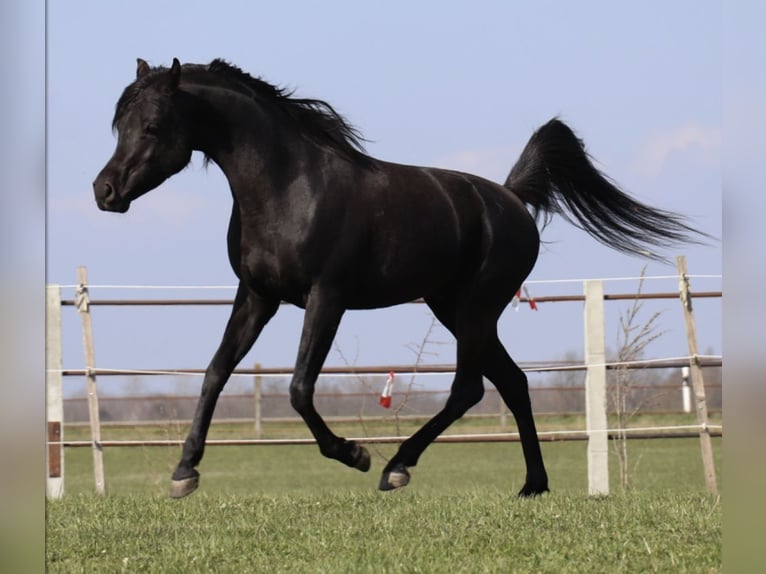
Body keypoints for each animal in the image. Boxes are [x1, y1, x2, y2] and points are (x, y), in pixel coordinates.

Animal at [93, 59, 704, 500]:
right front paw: (184, 472)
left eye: (153, 125)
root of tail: (511, 199)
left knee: (469, 388)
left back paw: (396, 467)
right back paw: (532, 485)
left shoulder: (327, 297)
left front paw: (355, 454)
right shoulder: (257, 297)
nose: (104, 191)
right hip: (451, 306)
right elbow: (215, 373)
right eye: (118, 124)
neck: (288, 187)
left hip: (475, 308)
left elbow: (299, 387)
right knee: (512, 382)